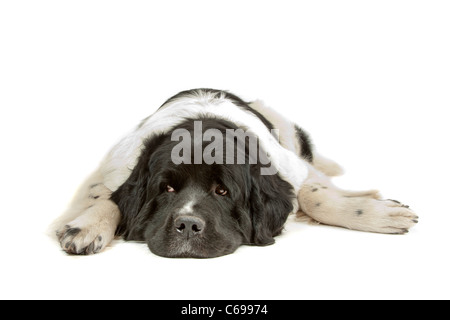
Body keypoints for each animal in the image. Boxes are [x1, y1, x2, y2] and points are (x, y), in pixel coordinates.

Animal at [53, 87, 418, 258]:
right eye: (166, 189)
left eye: (222, 191)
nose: (188, 225)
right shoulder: (116, 163)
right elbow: (106, 196)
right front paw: (86, 226)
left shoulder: (289, 166)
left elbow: (314, 196)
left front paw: (378, 213)